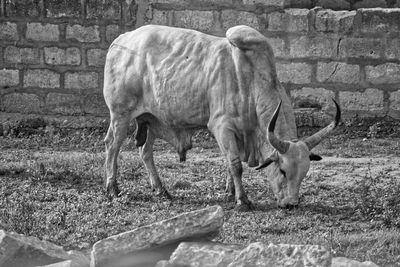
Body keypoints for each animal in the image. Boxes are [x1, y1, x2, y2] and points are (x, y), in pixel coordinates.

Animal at [103, 24, 340, 211]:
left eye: (304, 173)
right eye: (282, 170)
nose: (291, 204)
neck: (251, 81)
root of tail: (121, 40)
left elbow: (229, 162)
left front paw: (230, 192)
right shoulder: (222, 127)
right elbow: (235, 165)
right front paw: (242, 200)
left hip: (151, 119)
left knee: (145, 151)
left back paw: (161, 190)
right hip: (120, 115)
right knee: (112, 146)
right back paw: (112, 188)